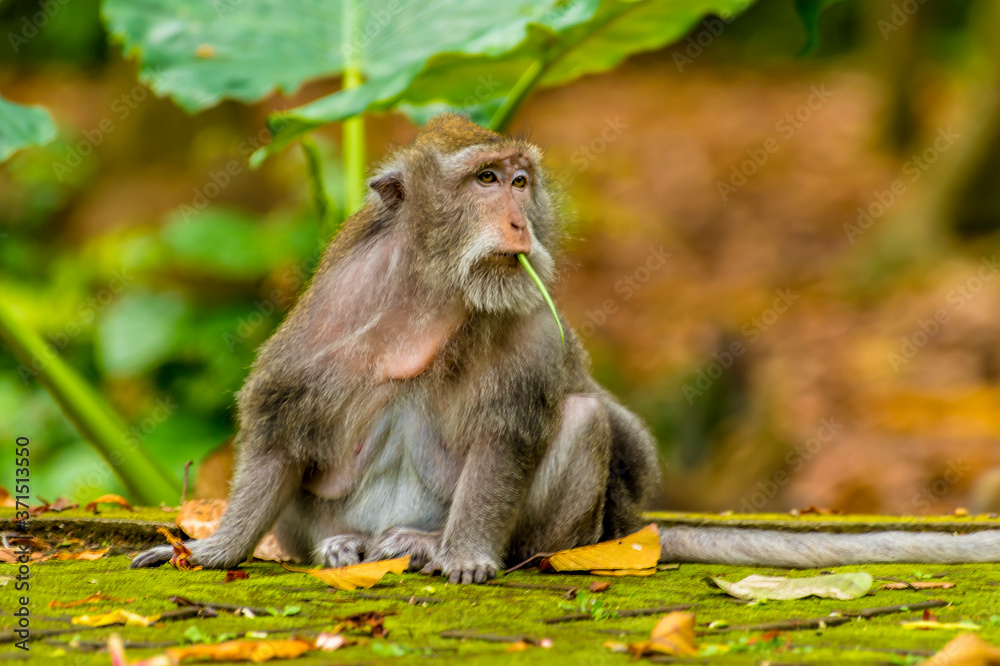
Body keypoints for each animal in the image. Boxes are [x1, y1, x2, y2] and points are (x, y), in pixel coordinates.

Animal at [132, 114, 1000, 581]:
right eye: (484, 180)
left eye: (521, 180)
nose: (518, 219)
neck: (431, 299)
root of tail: (620, 532)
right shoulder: (330, 315)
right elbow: (282, 425)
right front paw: (215, 549)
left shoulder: (530, 324)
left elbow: (509, 435)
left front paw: (468, 555)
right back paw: (346, 546)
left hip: (573, 528)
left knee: (583, 421)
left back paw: (437, 546)